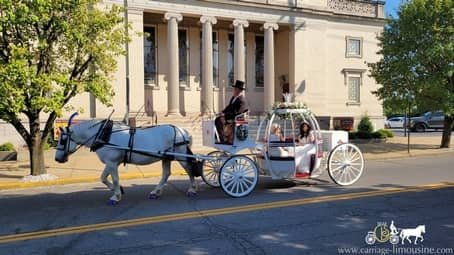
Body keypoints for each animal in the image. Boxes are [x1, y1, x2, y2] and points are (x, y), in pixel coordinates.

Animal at [54, 118, 199, 205]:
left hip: (180, 155)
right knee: (166, 174)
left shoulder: (112, 163)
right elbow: (103, 178)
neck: (103, 135)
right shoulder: (111, 162)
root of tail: (183, 131)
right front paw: (118, 190)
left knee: (189, 169)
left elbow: (114, 179)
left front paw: (116, 196)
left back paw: (192, 189)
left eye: (63, 140)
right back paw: (155, 192)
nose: (57, 159)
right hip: (166, 157)